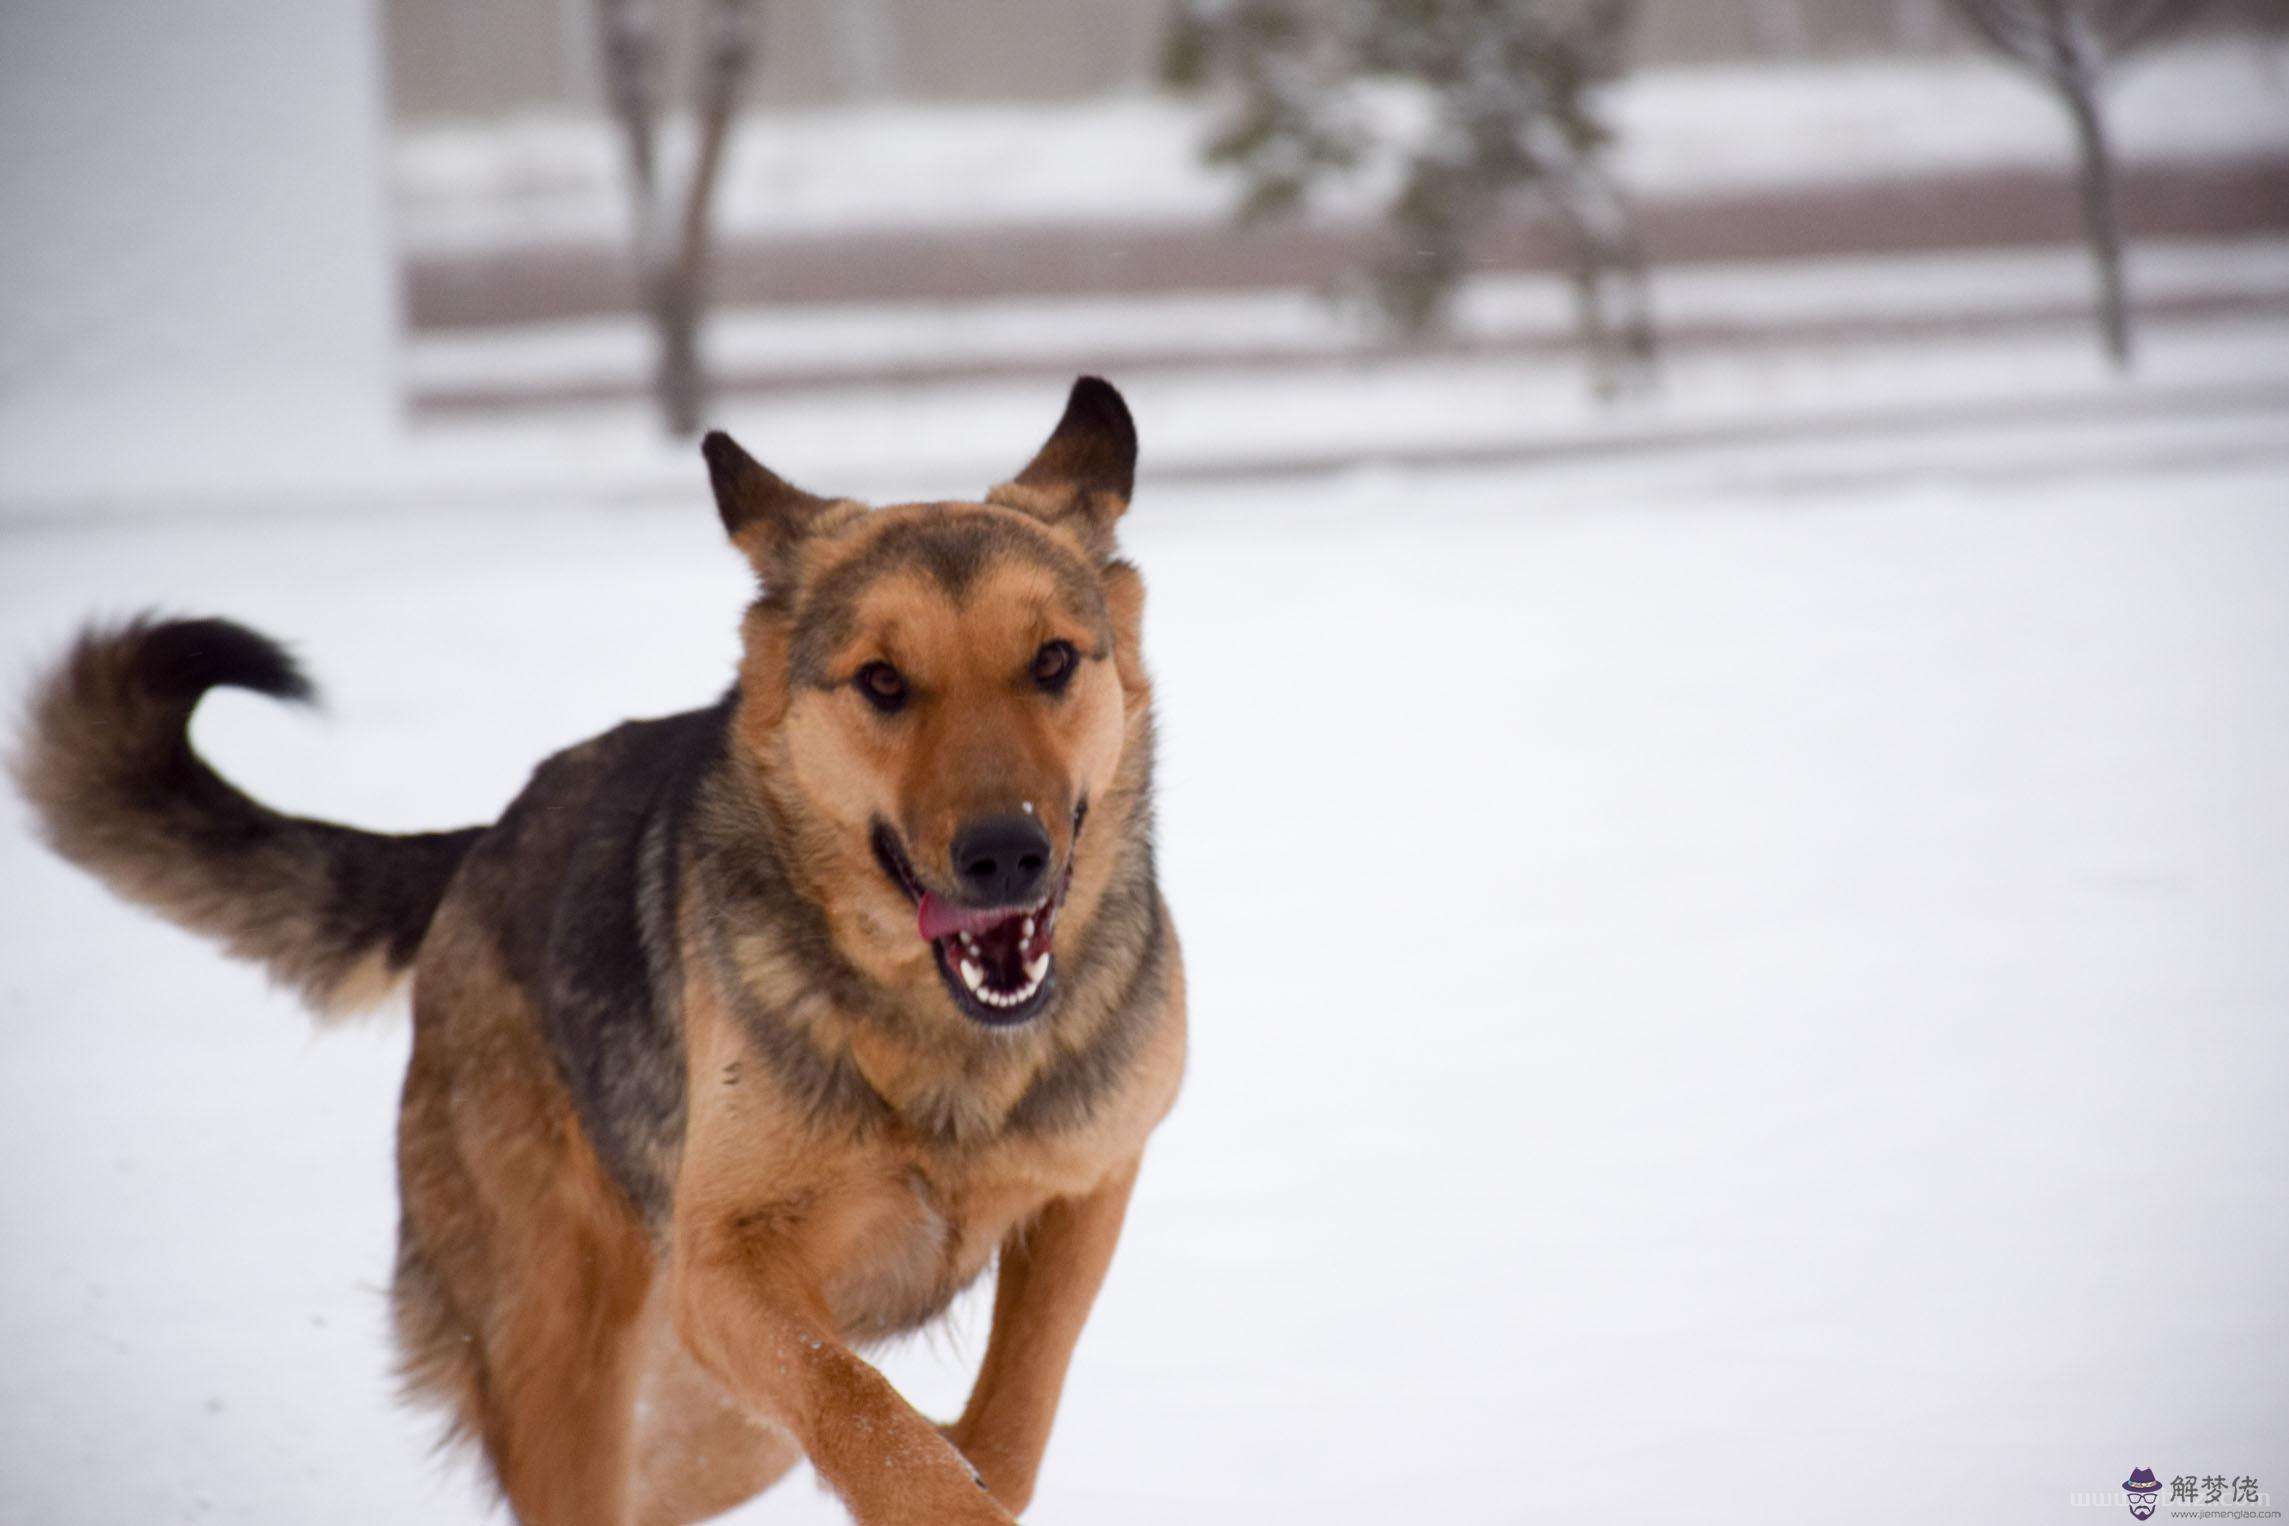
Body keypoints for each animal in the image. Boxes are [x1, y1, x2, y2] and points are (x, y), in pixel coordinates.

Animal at [17, 372, 1190, 1526]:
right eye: (883, 682)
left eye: (1052, 661)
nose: (1005, 854)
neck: (941, 1047)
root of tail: (484, 843)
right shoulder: (723, 1269)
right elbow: (872, 1422)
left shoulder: (1093, 1181)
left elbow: (1009, 1414)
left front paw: (972, 1451)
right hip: (562, 1333)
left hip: (712, 1416)